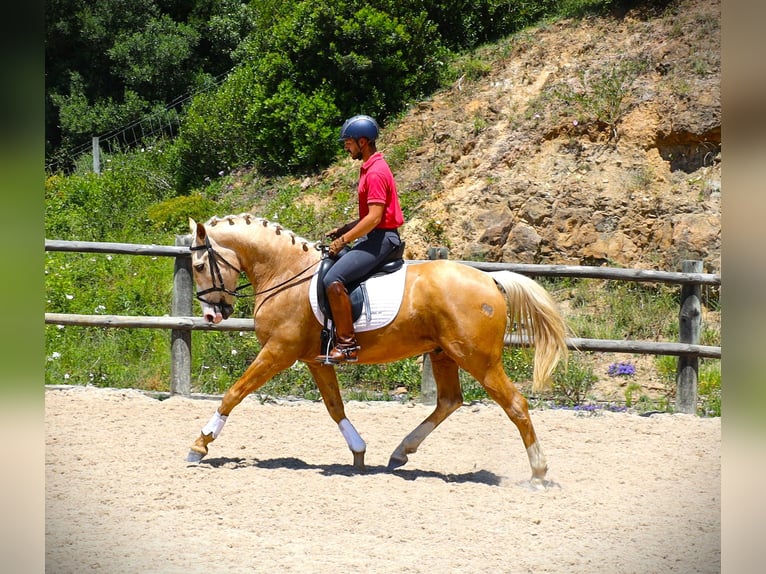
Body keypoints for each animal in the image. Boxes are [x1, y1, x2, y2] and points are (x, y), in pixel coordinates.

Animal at [186, 214, 568, 488]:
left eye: (200, 266)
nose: (210, 316)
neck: (286, 273)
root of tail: (490, 279)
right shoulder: (315, 359)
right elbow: (334, 406)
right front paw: (358, 452)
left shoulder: (278, 351)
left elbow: (234, 393)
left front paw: (200, 444)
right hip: (443, 353)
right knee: (449, 401)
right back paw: (401, 453)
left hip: (478, 359)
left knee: (514, 404)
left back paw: (538, 472)